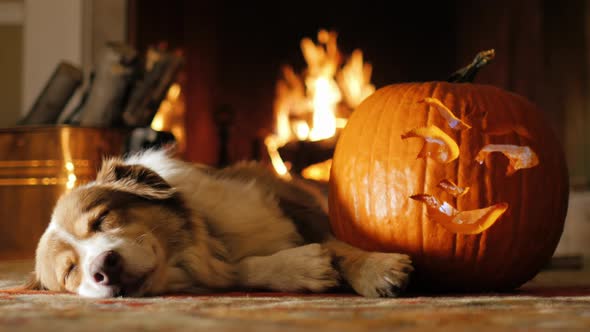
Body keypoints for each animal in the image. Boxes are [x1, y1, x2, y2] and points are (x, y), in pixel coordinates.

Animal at [23, 149, 414, 296]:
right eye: (70, 272)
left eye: (103, 219)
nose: (105, 267)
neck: (208, 239)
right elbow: (240, 270)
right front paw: (300, 267)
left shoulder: (297, 209)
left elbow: (341, 247)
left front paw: (379, 270)